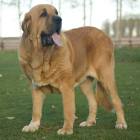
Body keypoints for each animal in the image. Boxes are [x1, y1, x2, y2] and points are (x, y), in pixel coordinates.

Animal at [18, 4, 127, 135]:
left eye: (56, 12)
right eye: (43, 14)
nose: (59, 19)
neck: (42, 57)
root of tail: (105, 35)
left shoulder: (66, 86)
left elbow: (68, 111)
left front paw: (66, 129)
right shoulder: (35, 88)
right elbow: (36, 111)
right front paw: (33, 126)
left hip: (106, 77)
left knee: (116, 101)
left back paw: (121, 123)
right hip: (84, 83)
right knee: (93, 101)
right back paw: (89, 122)